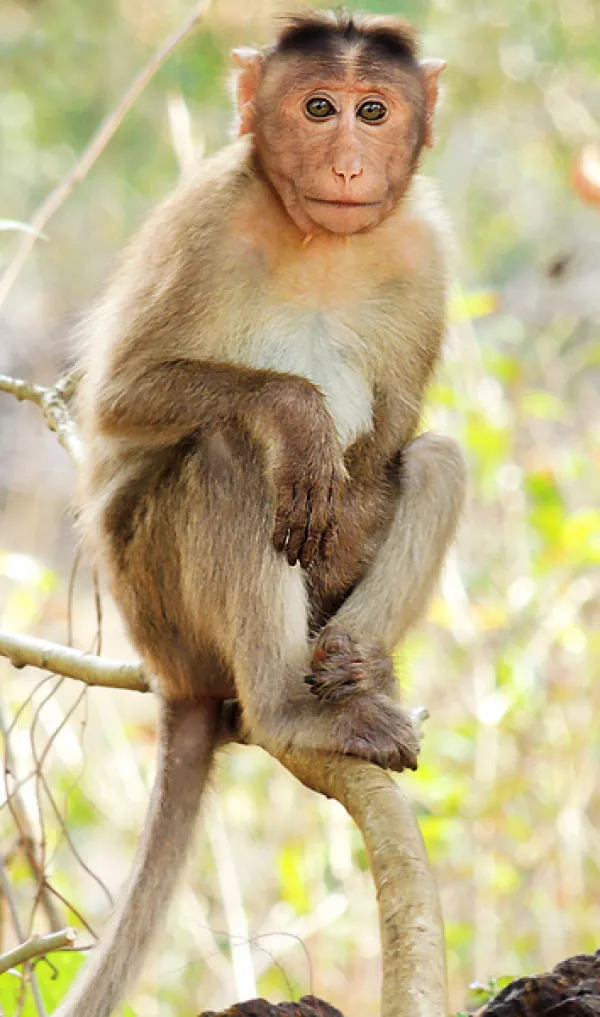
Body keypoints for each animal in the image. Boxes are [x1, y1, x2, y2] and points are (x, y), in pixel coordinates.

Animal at [56, 12, 466, 1017]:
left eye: (373, 110)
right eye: (317, 108)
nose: (349, 163)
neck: (322, 242)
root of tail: (176, 678)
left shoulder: (424, 250)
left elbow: (391, 444)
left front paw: (362, 657)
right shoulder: (203, 219)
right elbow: (119, 399)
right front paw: (298, 413)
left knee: (434, 460)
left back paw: (354, 670)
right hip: (159, 601)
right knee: (231, 458)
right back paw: (291, 710)